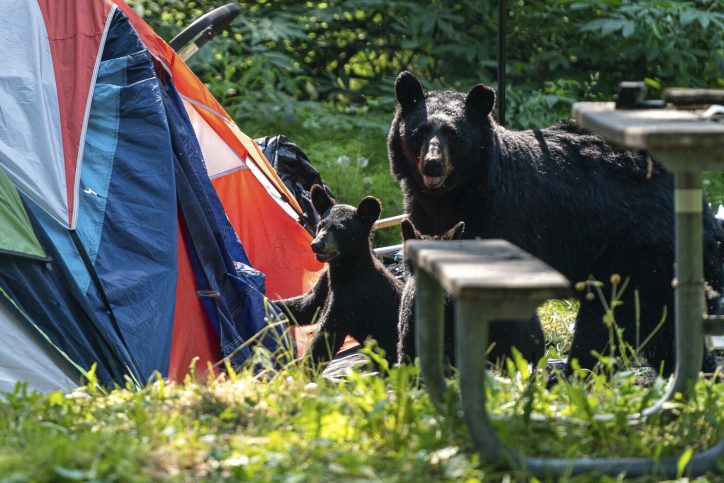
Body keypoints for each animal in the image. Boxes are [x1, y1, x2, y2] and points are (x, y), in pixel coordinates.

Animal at [276, 185, 402, 364]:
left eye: (340, 229)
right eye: (320, 225)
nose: (316, 245)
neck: (344, 270)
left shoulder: (353, 297)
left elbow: (326, 336)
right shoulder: (326, 282)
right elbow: (307, 305)